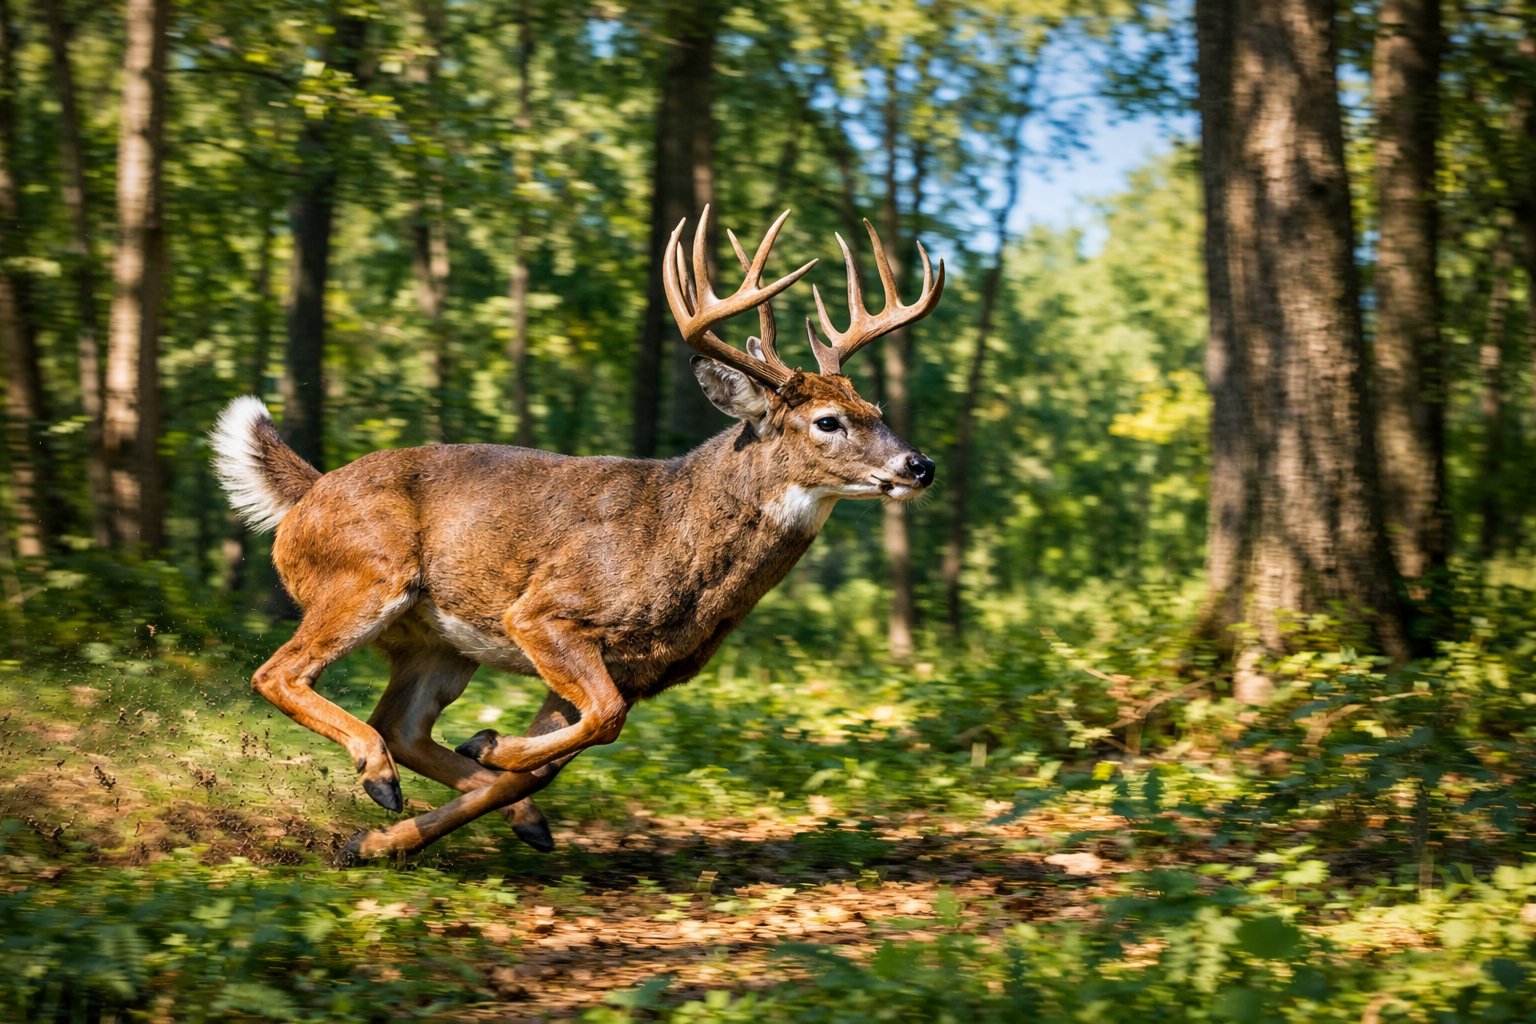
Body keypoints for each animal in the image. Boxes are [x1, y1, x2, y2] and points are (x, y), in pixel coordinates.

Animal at [210, 206, 944, 862]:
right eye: (827, 421)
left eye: (876, 408)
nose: (920, 465)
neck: (680, 543)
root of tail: (307, 493)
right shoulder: (546, 613)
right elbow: (603, 718)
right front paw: (489, 748)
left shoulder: (637, 670)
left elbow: (566, 745)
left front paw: (391, 831)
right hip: (368, 576)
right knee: (279, 673)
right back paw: (381, 773)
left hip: (438, 642)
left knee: (405, 724)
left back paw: (473, 809)